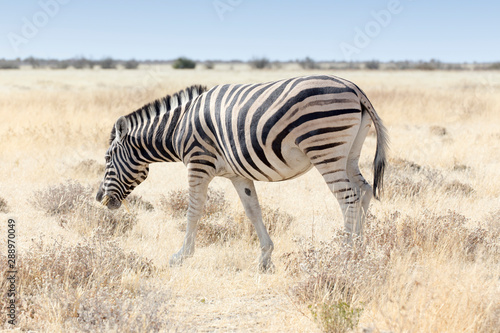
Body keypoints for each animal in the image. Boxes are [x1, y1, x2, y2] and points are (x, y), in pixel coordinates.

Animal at [95, 74, 388, 270]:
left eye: (108, 158)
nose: (98, 198)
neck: (178, 126)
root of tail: (354, 88)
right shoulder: (239, 174)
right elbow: (252, 209)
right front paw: (265, 257)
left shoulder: (198, 163)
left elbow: (193, 210)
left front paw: (182, 255)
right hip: (350, 153)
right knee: (364, 191)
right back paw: (360, 250)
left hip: (325, 148)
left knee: (348, 198)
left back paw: (344, 255)